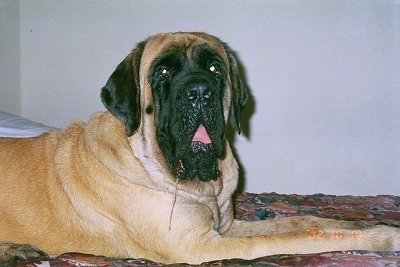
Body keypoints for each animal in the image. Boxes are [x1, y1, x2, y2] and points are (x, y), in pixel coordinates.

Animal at [0, 31, 400, 266]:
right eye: (162, 72)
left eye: (214, 68)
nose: (198, 92)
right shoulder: (197, 245)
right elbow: (295, 237)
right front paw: (381, 237)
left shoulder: (226, 226)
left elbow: (304, 222)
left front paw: (362, 222)